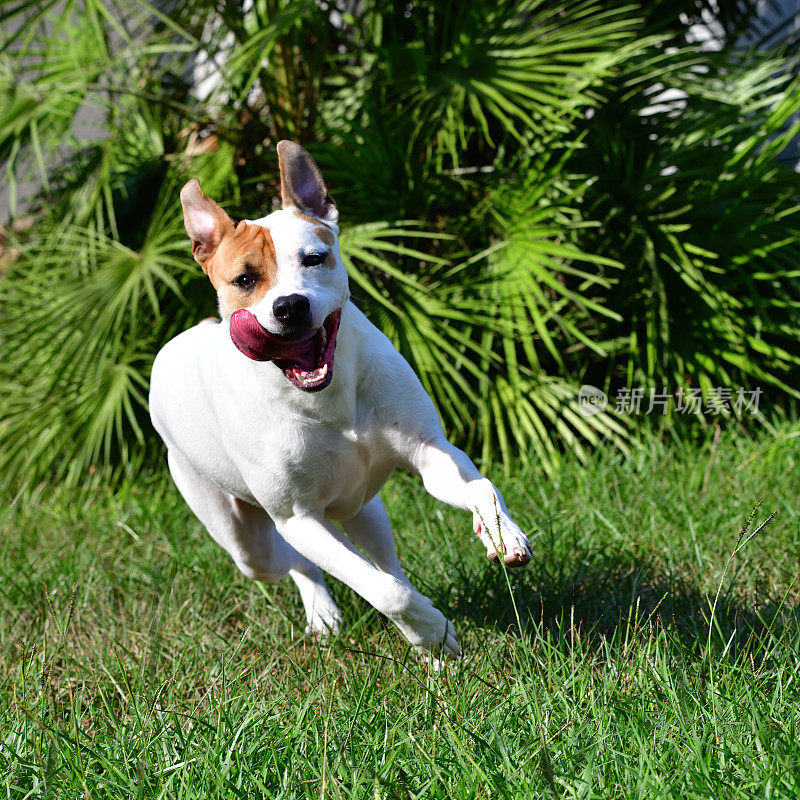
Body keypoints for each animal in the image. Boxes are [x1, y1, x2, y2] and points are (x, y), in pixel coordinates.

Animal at [150, 142, 532, 656]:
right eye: (245, 279)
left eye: (315, 258)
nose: (290, 306)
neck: (323, 398)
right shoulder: (298, 518)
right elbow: (383, 592)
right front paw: (431, 630)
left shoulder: (429, 452)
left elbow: (479, 487)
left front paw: (500, 532)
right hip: (245, 539)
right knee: (296, 561)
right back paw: (327, 613)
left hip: (363, 509)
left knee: (383, 555)